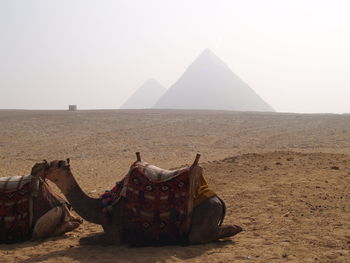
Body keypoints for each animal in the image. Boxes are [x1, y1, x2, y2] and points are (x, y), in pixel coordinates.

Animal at [45, 155, 242, 248]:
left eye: (53, 165)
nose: (40, 166)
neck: (101, 208)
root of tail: (218, 198)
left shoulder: (114, 233)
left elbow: (84, 240)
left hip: (206, 214)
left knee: (198, 236)